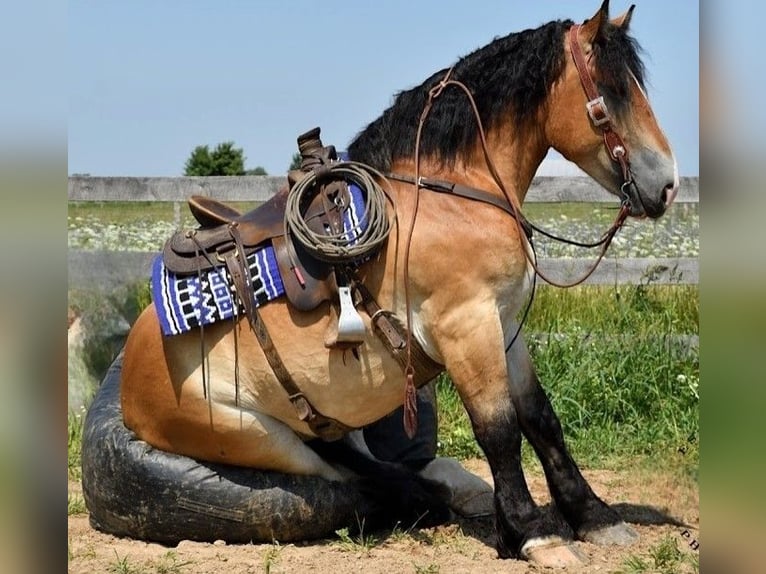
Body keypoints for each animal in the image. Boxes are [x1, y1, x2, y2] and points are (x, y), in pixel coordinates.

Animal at [118, 0, 680, 568]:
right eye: (614, 91)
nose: (668, 184)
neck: (452, 195)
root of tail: (129, 386)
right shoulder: (466, 327)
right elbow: (498, 429)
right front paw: (534, 534)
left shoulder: (505, 327)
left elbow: (540, 419)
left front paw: (594, 517)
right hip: (265, 438)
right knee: (353, 475)